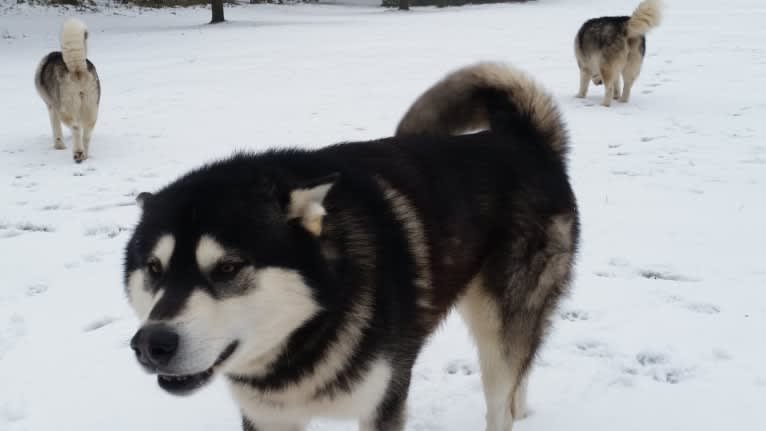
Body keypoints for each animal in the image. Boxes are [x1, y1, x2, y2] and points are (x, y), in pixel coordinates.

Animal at [34, 17, 100, 164]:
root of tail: (77, 68)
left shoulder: (51, 107)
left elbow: (57, 130)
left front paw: (59, 146)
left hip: (64, 110)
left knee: (76, 128)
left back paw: (78, 153)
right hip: (91, 108)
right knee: (86, 133)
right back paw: (85, 155)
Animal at [123, 61, 580, 431]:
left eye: (228, 267)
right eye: (154, 268)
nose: (152, 344)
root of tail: (524, 140)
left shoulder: (383, 402)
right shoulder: (267, 416)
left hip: (500, 320)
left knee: (502, 392)